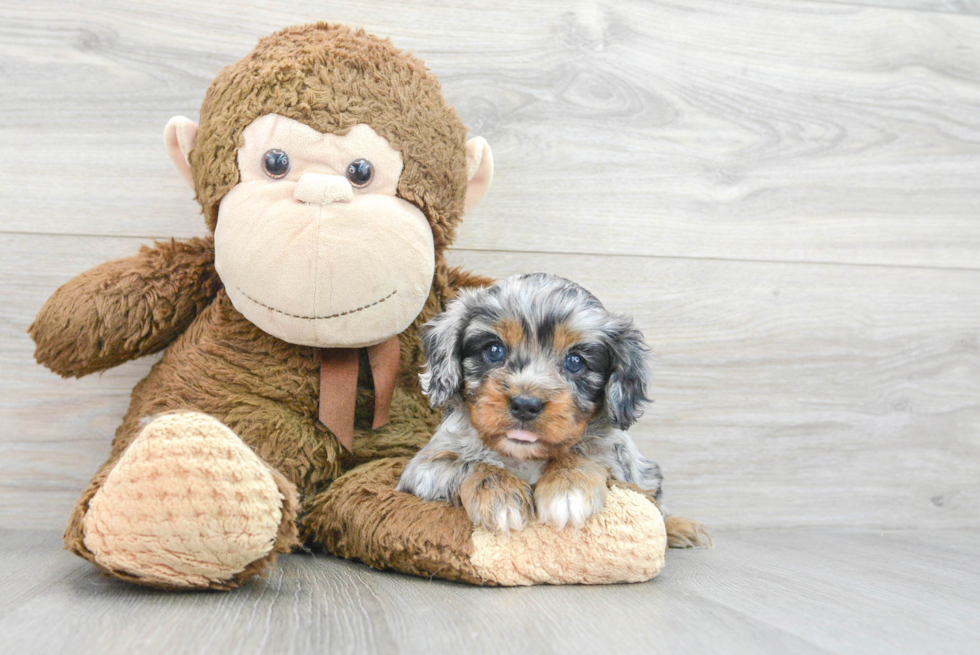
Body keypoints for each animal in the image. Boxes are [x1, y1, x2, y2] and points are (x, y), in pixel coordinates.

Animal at [398, 272, 712, 548]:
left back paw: (680, 527)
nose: (525, 405)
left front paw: (567, 486)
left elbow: (582, 453)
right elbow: (469, 463)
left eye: (575, 361)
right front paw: (502, 494)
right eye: (494, 350)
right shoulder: (424, 467)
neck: (523, 456)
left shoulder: (618, 460)